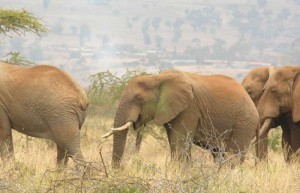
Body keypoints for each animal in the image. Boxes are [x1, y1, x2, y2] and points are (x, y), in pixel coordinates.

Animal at [102, 69, 258, 167]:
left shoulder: (188, 109)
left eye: (139, 98)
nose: (118, 170)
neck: (157, 78)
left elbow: (179, 143)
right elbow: (175, 142)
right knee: (218, 154)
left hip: (244, 123)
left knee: (234, 156)